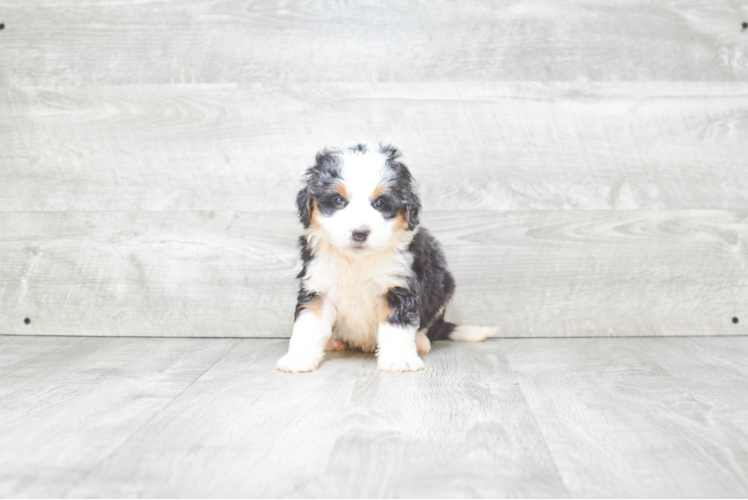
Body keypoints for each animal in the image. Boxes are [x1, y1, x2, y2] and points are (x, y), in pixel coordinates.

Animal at [274, 143, 496, 374]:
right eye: (338, 201)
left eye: (379, 203)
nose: (360, 233)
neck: (358, 261)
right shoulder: (317, 285)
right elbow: (308, 325)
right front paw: (298, 358)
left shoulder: (399, 286)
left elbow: (396, 325)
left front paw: (399, 359)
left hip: (442, 286)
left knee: (429, 325)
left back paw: (420, 342)